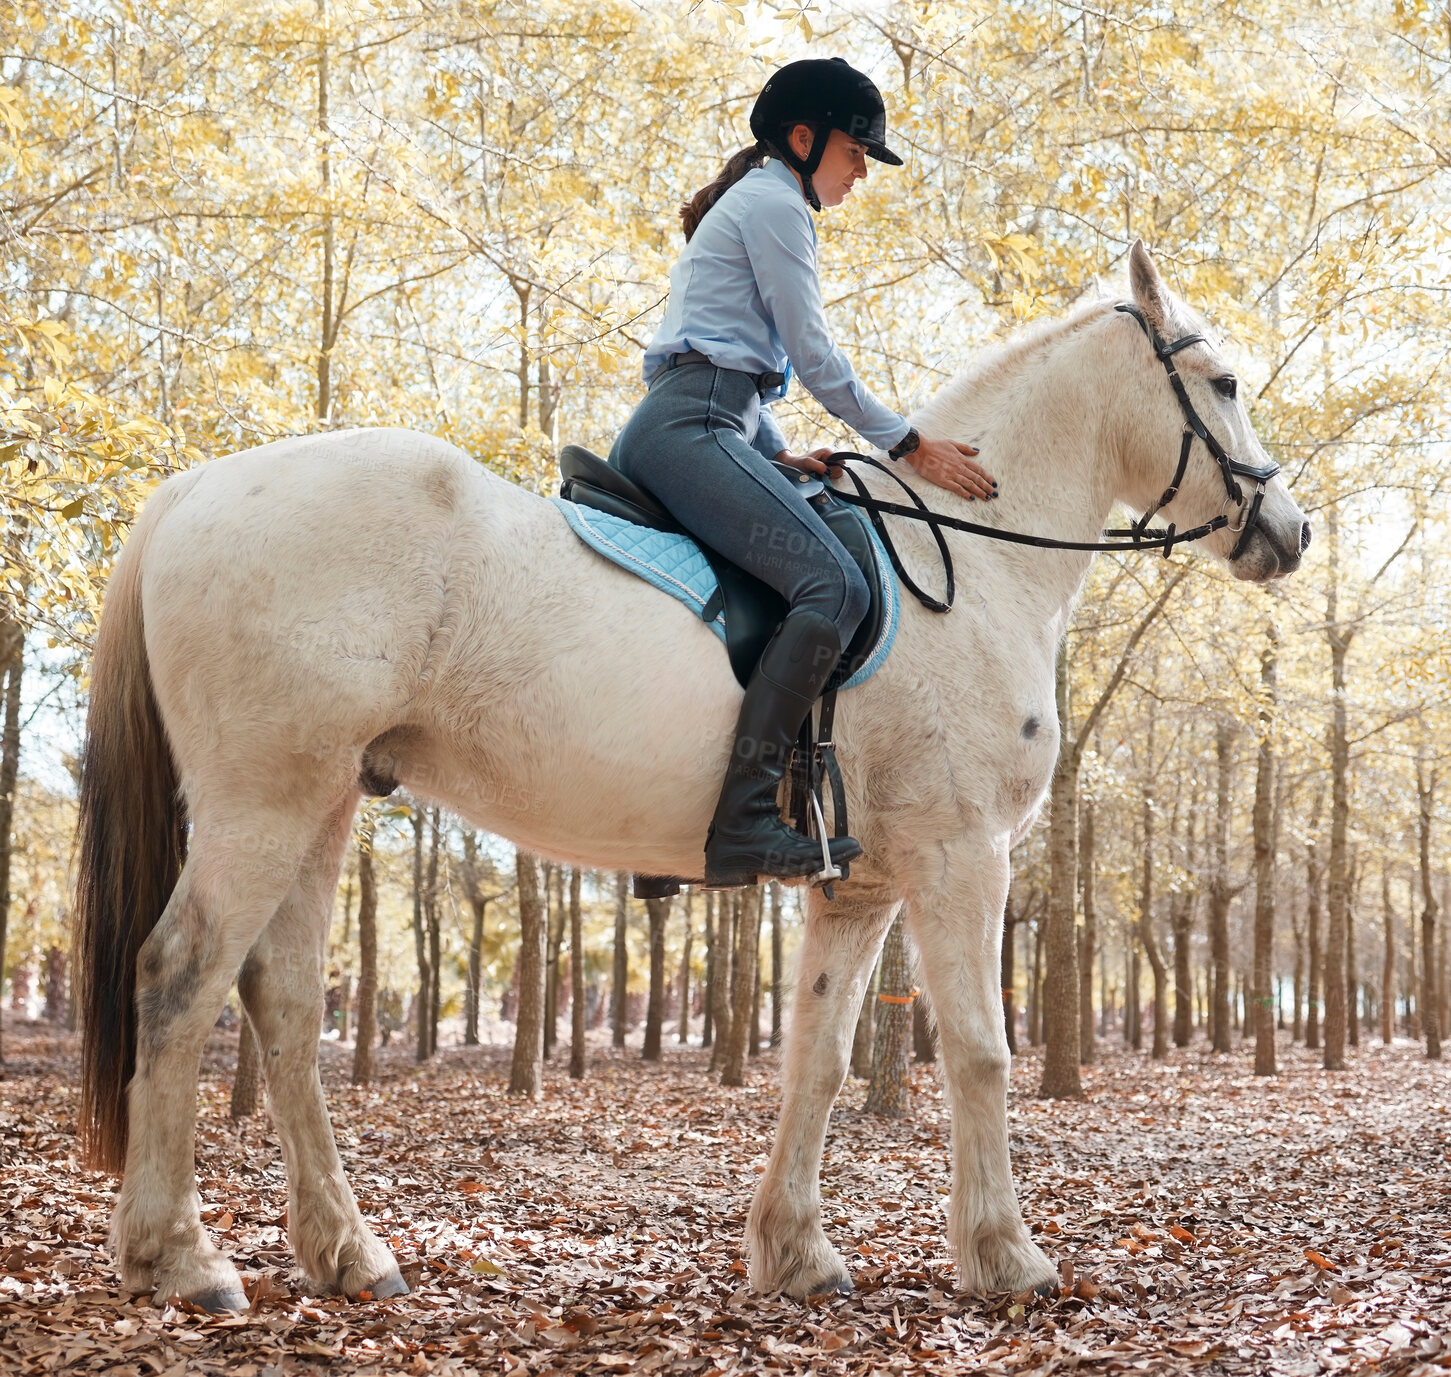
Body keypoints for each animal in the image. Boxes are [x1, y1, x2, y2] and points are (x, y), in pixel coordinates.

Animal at [76, 242, 1305, 1305]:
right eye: (1225, 382)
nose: (1287, 532)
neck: (966, 551)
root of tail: (193, 489)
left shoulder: (860, 885)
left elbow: (818, 1055)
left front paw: (795, 1253)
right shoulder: (962, 856)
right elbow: (978, 1052)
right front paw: (1006, 1257)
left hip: (323, 802)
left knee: (280, 998)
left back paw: (348, 1253)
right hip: (261, 803)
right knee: (179, 978)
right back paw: (179, 1258)